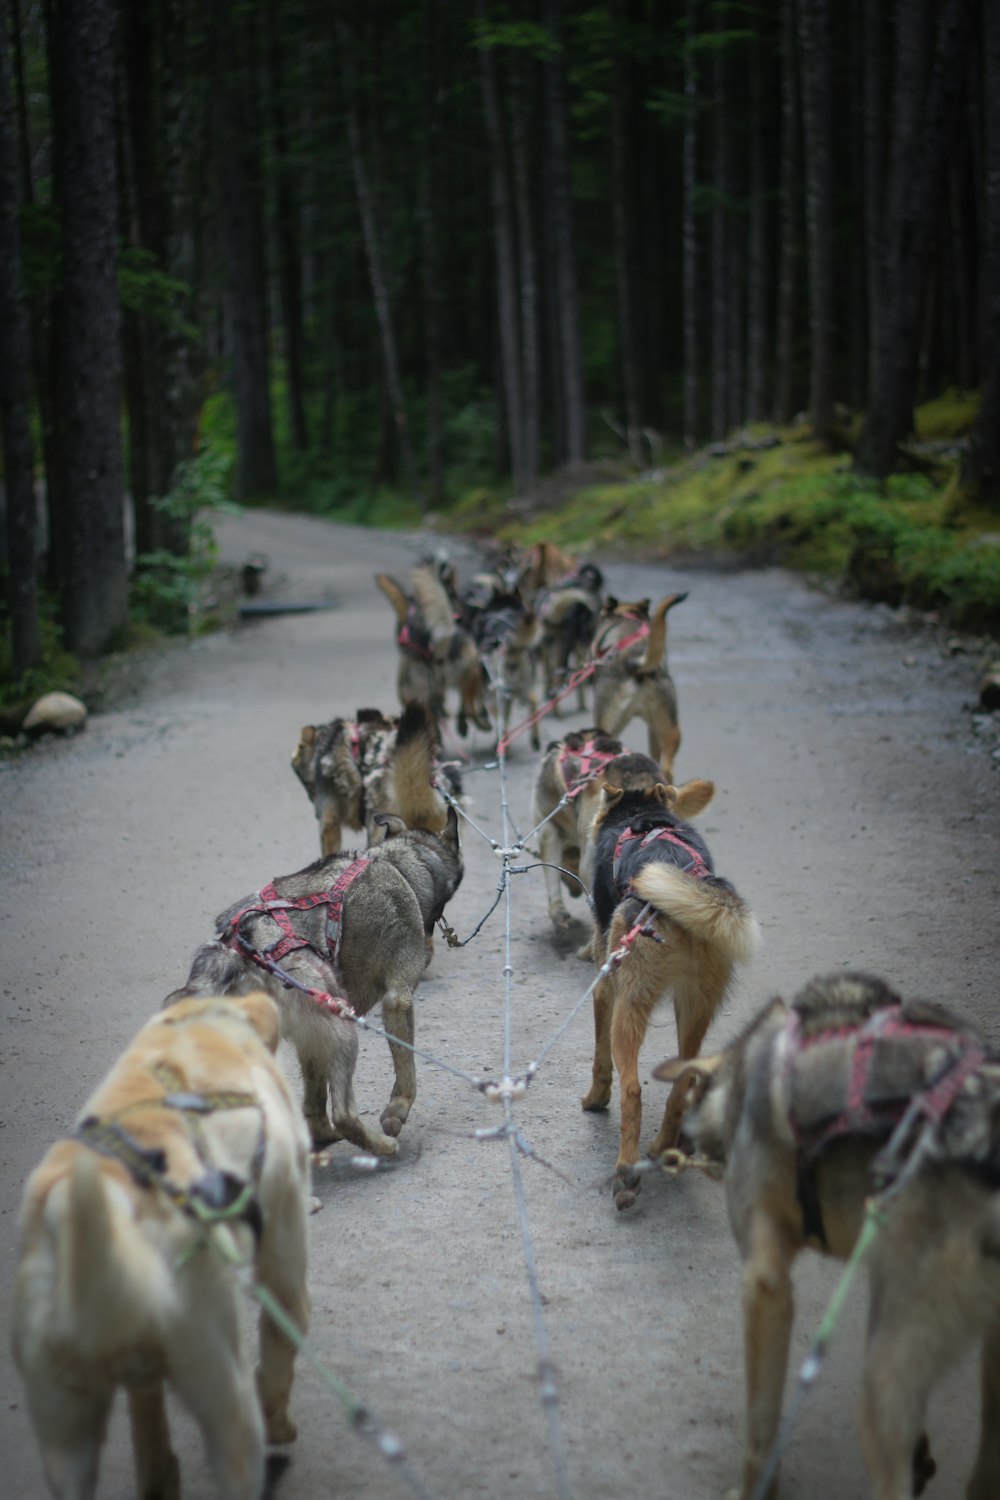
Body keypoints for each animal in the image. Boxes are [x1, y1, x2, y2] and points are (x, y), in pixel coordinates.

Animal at [11, 990, 308, 1500]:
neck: (194, 1026)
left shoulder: (141, 1367)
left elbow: (147, 1421)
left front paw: (159, 1471)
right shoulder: (284, 1247)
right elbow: (279, 1347)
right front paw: (280, 1422)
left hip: (64, 1432)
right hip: (221, 1388)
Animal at [169, 810, 464, 1146]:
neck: (400, 863)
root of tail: (241, 950)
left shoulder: (309, 1038)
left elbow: (314, 1095)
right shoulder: (397, 998)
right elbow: (407, 1074)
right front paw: (396, 1112)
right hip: (342, 1027)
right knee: (345, 1114)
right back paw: (381, 1145)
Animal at [578, 762, 758, 1206]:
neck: (641, 816)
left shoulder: (605, 988)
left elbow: (600, 1060)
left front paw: (595, 1098)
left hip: (630, 1009)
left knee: (632, 1091)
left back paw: (627, 1173)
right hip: (695, 1008)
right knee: (683, 1080)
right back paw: (665, 1146)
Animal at [593, 591, 689, 780]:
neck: (628, 613)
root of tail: (634, 663)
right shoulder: (653, 729)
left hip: (605, 724)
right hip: (670, 729)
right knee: (666, 767)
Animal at [653, 972, 1000, 1500]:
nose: (684, 1149)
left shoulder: (766, 1284)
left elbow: (761, 1433)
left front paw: (754, 1489)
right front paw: (923, 1453)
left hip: (881, 1382)